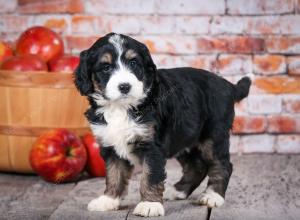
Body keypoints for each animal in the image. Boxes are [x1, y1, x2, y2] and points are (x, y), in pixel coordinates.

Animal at [74, 32, 251, 217]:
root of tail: (228, 85)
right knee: (196, 166)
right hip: (184, 137)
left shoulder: (152, 146)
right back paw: (178, 191)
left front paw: (149, 204)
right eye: (106, 67)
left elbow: (150, 175)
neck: (122, 107)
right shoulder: (111, 146)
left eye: (133, 63)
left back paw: (213, 196)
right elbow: (114, 174)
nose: (124, 86)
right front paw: (108, 200)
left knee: (222, 164)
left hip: (214, 134)